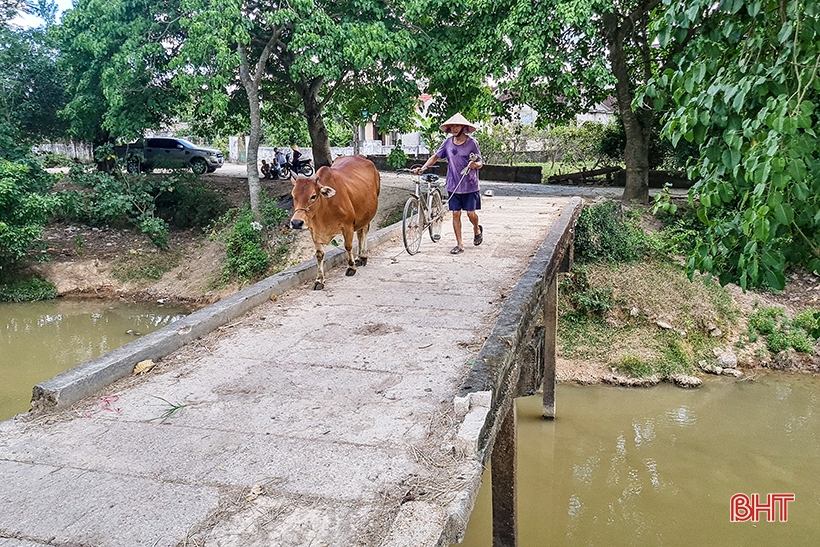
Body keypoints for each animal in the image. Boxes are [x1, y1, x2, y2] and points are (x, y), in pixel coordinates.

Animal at [292, 155, 382, 292]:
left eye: (313, 196)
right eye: (293, 196)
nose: (296, 222)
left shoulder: (348, 225)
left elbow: (348, 246)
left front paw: (351, 267)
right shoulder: (314, 231)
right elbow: (319, 255)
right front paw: (319, 280)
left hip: (368, 214)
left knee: (365, 231)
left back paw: (364, 256)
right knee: (360, 233)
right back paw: (359, 257)